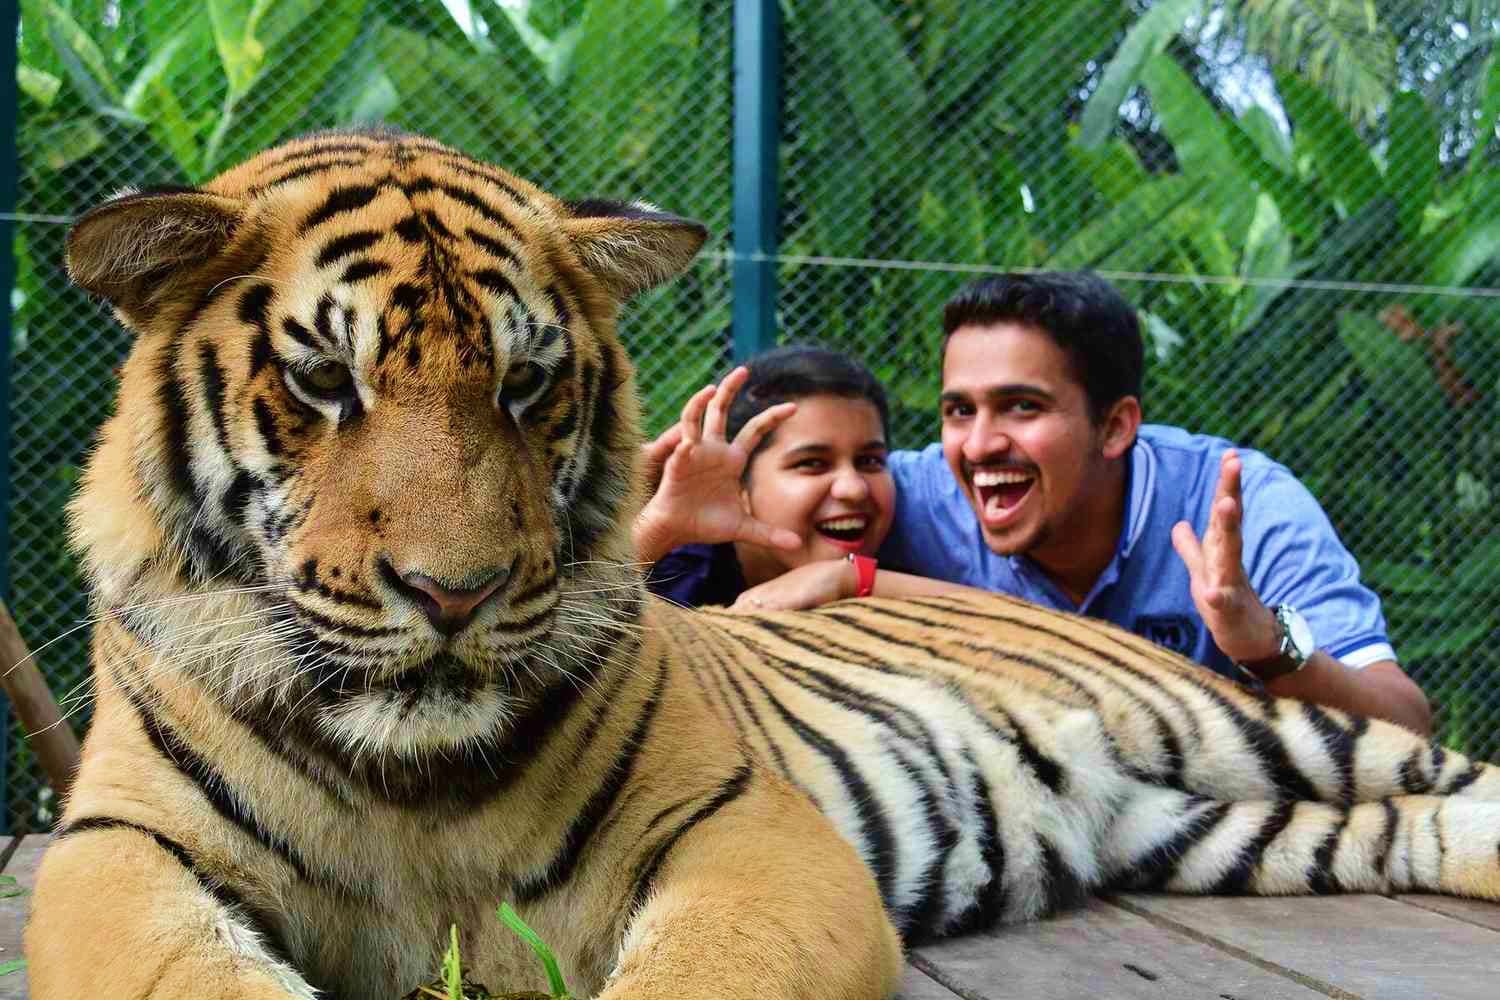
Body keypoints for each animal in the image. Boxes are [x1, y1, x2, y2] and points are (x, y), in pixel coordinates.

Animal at [23, 128, 1500, 1000]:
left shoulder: (746, 829)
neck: (409, 777)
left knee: (1445, 776)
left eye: (527, 383)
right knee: (1409, 829)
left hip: (1232, 718)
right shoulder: (120, 848)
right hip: (1204, 826)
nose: (457, 595)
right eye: (325, 380)